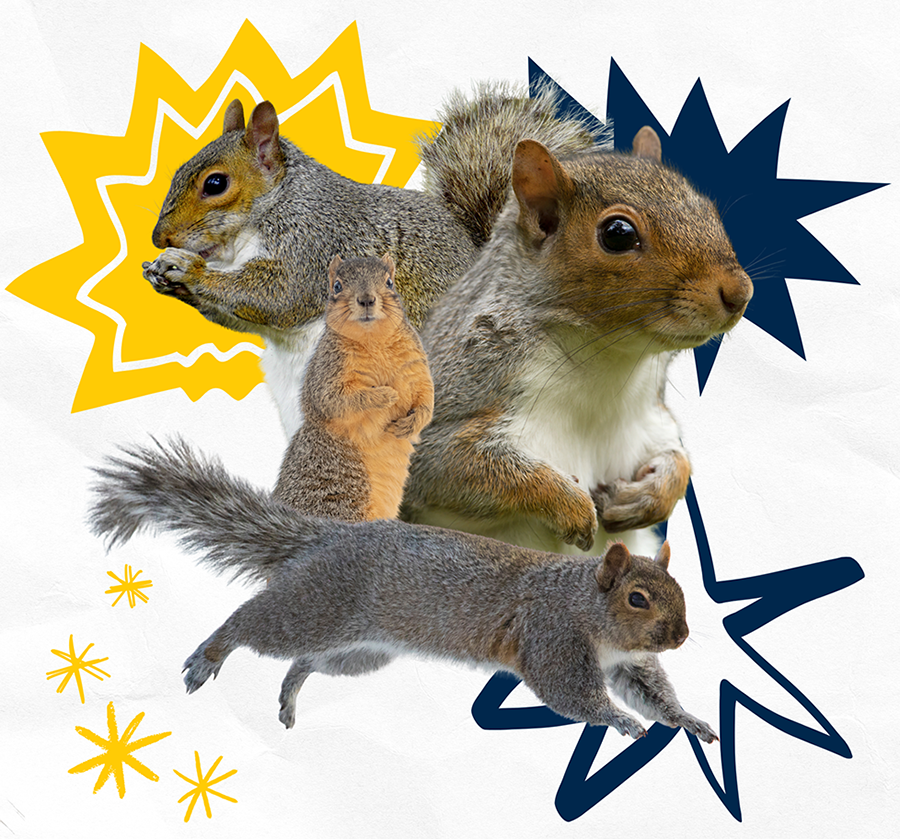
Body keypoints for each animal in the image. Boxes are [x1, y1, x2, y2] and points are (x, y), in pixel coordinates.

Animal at [89, 439, 717, 743]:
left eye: (680, 590)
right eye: (637, 598)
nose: (681, 636)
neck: (589, 608)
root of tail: (331, 537)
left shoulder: (628, 662)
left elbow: (653, 692)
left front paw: (688, 720)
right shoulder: (551, 636)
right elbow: (572, 695)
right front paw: (621, 721)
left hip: (362, 652)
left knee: (305, 661)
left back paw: (289, 697)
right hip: (316, 606)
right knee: (252, 625)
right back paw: (209, 655)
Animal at [141, 86, 606, 437]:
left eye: (215, 184)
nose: (158, 237)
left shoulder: (318, 246)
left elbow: (279, 294)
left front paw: (188, 268)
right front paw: (166, 273)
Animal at [273, 253, 433, 521]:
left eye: (389, 282)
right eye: (337, 286)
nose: (367, 299)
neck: (374, 341)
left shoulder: (416, 366)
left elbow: (427, 400)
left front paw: (412, 422)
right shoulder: (326, 373)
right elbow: (337, 401)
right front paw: (385, 395)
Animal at [400, 127, 753, 558]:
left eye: (708, 209)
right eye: (618, 234)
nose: (740, 293)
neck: (604, 363)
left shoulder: (651, 419)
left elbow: (677, 458)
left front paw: (647, 498)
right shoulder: (456, 405)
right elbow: (450, 467)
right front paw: (570, 506)